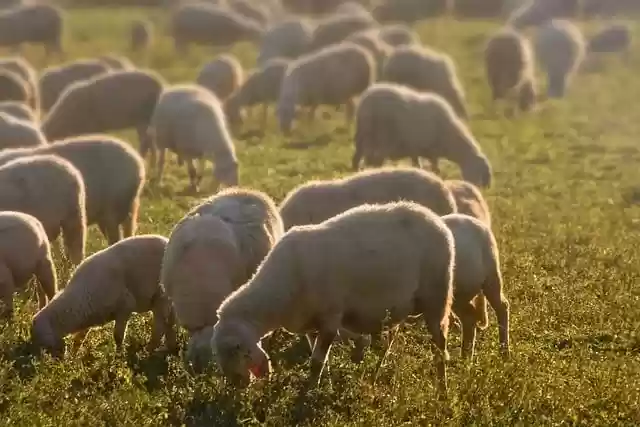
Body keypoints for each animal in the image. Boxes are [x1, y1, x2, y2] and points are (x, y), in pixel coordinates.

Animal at [30, 235, 176, 357]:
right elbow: (80, 337)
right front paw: (74, 355)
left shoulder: (125, 305)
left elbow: (118, 335)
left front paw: (118, 356)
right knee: (170, 324)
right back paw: (169, 349)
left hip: (161, 297)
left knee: (160, 327)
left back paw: (147, 352)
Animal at [211, 201, 454, 393]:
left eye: (234, 350)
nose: (238, 385)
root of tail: (436, 219)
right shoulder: (310, 325)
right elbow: (320, 361)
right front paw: (322, 386)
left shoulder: (330, 317)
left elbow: (316, 362)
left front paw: (309, 394)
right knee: (391, 341)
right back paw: (376, 377)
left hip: (437, 297)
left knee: (440, 346)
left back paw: (442, 390)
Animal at [353, 83, 492, 189]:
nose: (478, 189)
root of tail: (367, 101)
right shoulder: (427, 150)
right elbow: (434, 169)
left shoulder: (417, 149)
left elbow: (418, 164)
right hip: (382, 136)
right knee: (375, 159)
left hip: (363, 135)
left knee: (359, 157)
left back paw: (357, 171)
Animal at [441, 214, 509, 359]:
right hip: (461, 292)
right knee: (469, 318)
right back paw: (466, 358)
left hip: (489, 277)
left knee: (502, 307)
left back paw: (504, 353)